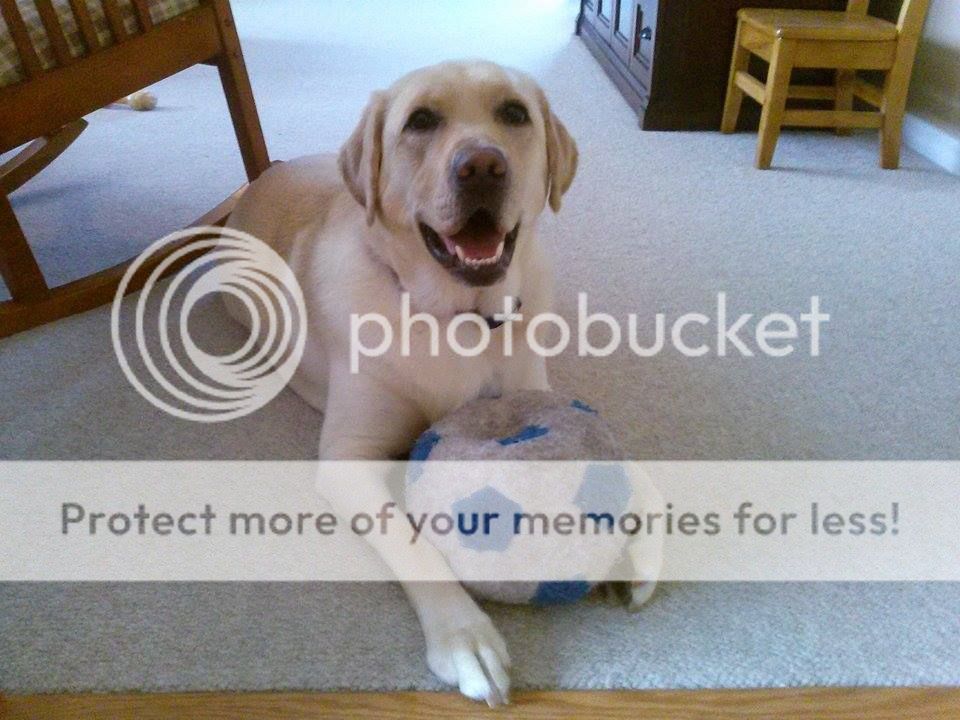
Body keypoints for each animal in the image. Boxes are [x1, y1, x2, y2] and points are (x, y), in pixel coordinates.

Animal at [227, 60, 647, 704]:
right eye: (420, 120)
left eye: (514, 113)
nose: (483, 166)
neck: (457, 318)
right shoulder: (348, 458)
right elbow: (411, 540)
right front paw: (463, 636)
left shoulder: (535, 385)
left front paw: (633, 548)